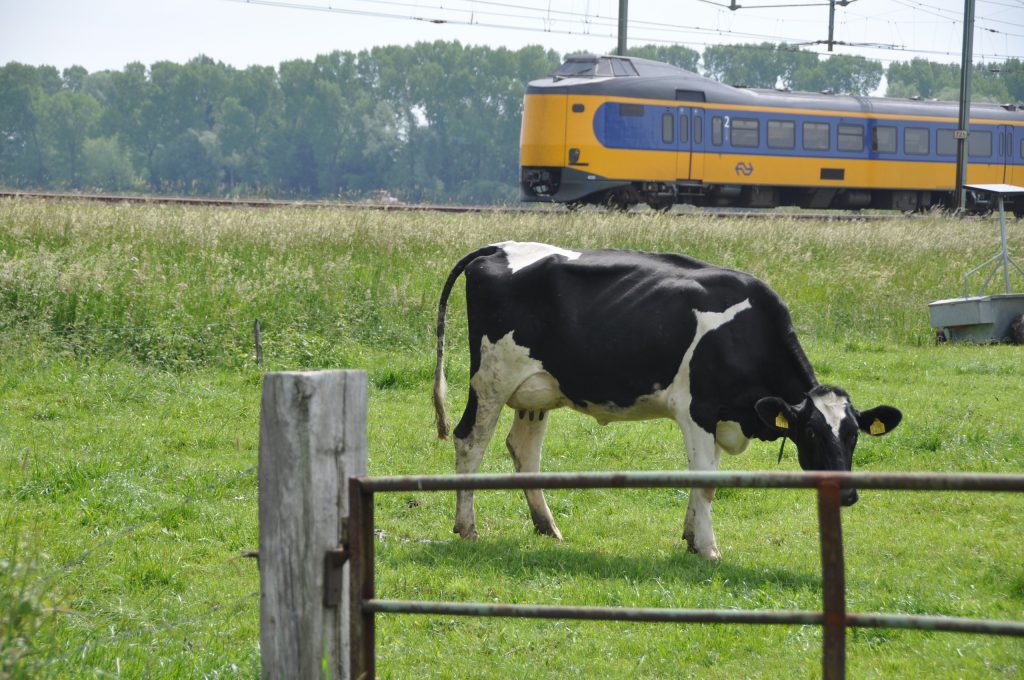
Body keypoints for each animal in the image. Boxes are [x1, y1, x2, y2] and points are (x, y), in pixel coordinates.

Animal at [433, 241, 902, 560]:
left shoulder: (720, 419)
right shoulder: (698, 411)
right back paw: (467, 527)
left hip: (538, 388)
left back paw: (547, 526)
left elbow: (701, 479)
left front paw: (692, 538)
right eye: (812, 433)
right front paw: (709, 548)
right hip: (491, 380)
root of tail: (499, 247)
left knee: (524, 450)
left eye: (853, 434)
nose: (847, 494)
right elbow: (706, 480)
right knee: (470, 442)